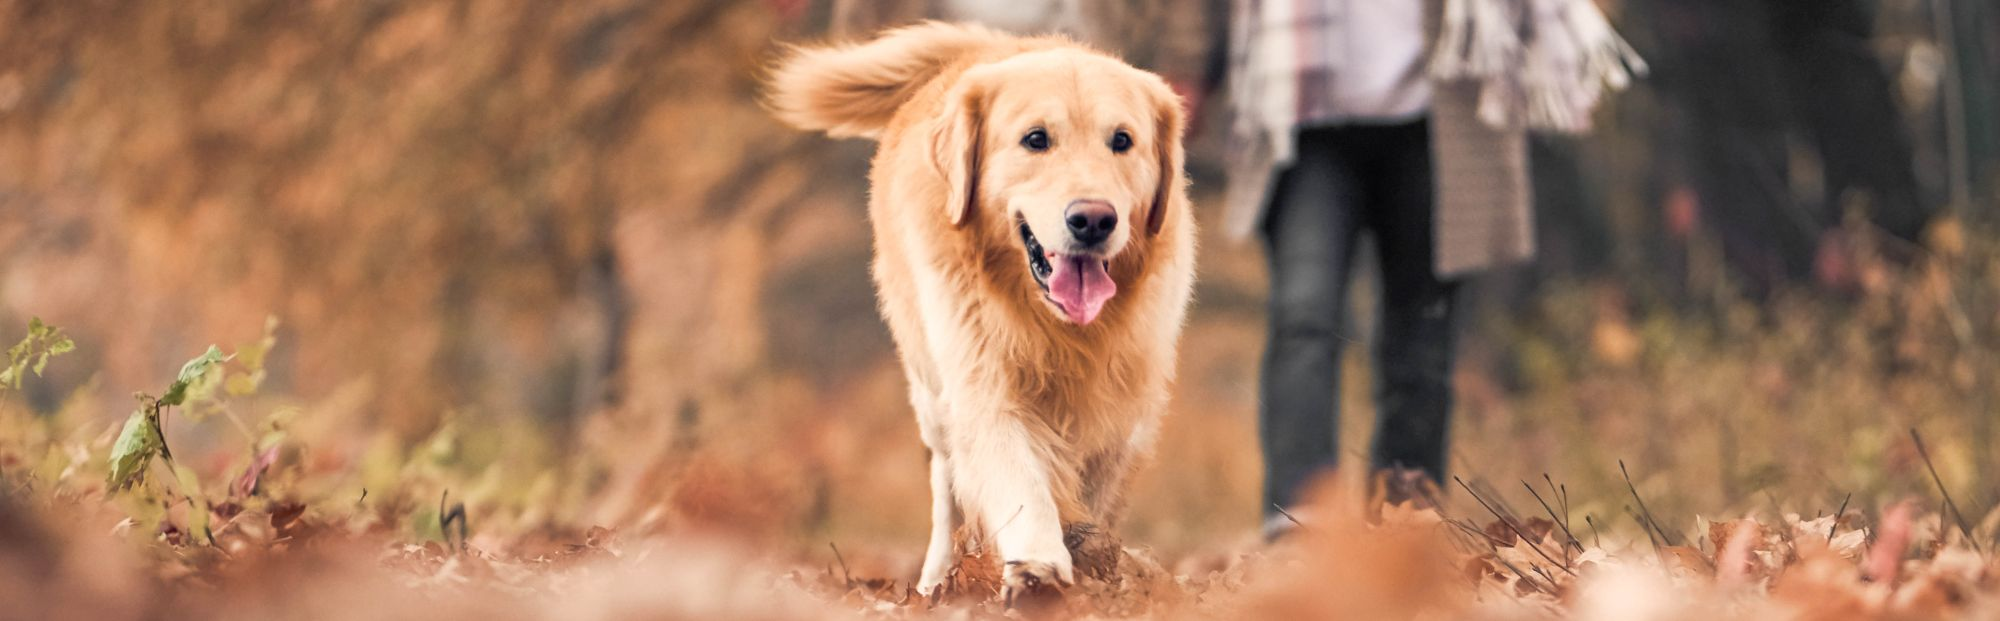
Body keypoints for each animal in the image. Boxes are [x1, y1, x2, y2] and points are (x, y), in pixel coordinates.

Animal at [772, 21, 1192, 600]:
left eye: (1122, 141)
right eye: (1036, 139)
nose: (1093, 220)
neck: (1059, 328)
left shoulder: (1123, 406)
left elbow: (1094, 494)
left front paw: (1091, 563)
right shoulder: (984, 380)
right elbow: (1020, 479)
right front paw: (1038, 566)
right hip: (931, 390)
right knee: (947, 486)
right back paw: (938, 579)